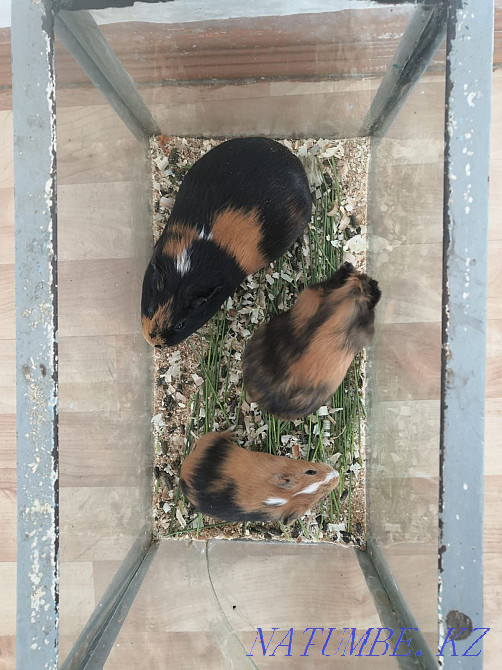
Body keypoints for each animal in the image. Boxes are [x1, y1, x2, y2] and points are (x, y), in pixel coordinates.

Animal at [180, 431, 338, 525]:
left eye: (320, 496)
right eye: (310, 472)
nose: (336, 474)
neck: (283, 496)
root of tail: (186, 467)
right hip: (211, 438)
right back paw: (232, 432)